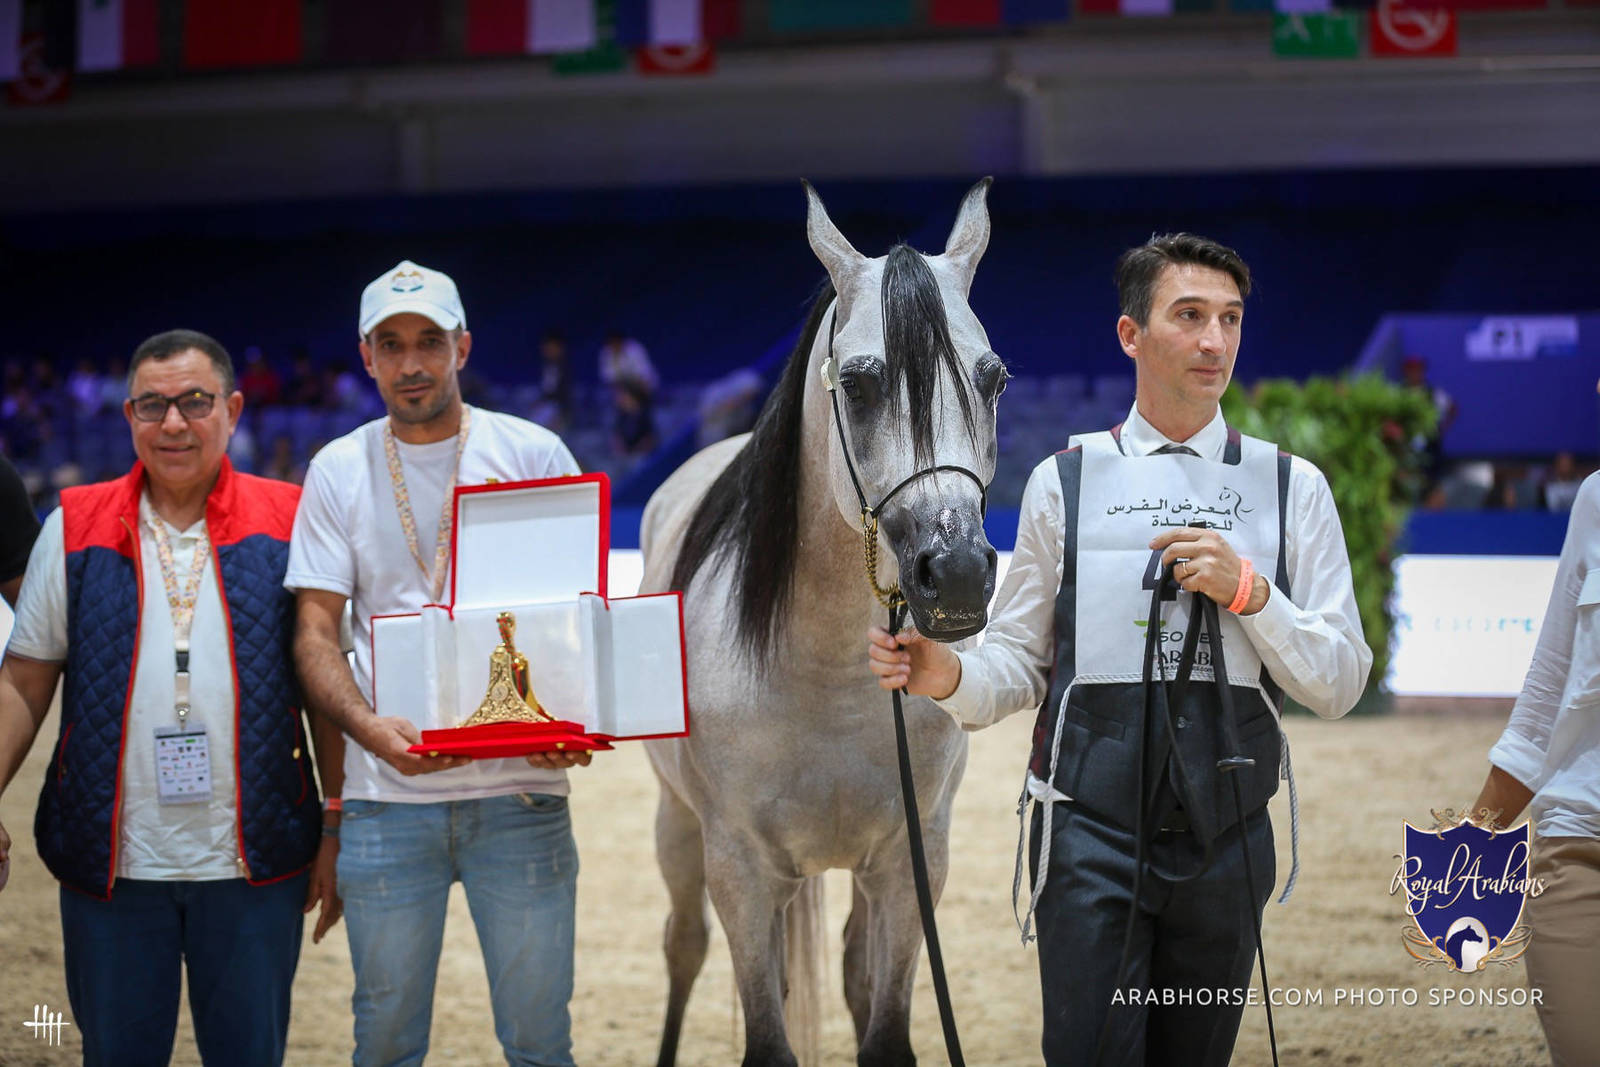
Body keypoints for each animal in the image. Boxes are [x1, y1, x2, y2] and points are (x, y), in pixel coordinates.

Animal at [639, 179, 1005, 1067]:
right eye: (864, 385)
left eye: (993, 380)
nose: (959, 573)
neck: (827, 676)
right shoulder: (740, 869)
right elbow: (766, 1034)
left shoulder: (910, 862)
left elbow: (883, 1024)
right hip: (679, 831)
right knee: (684, 946)